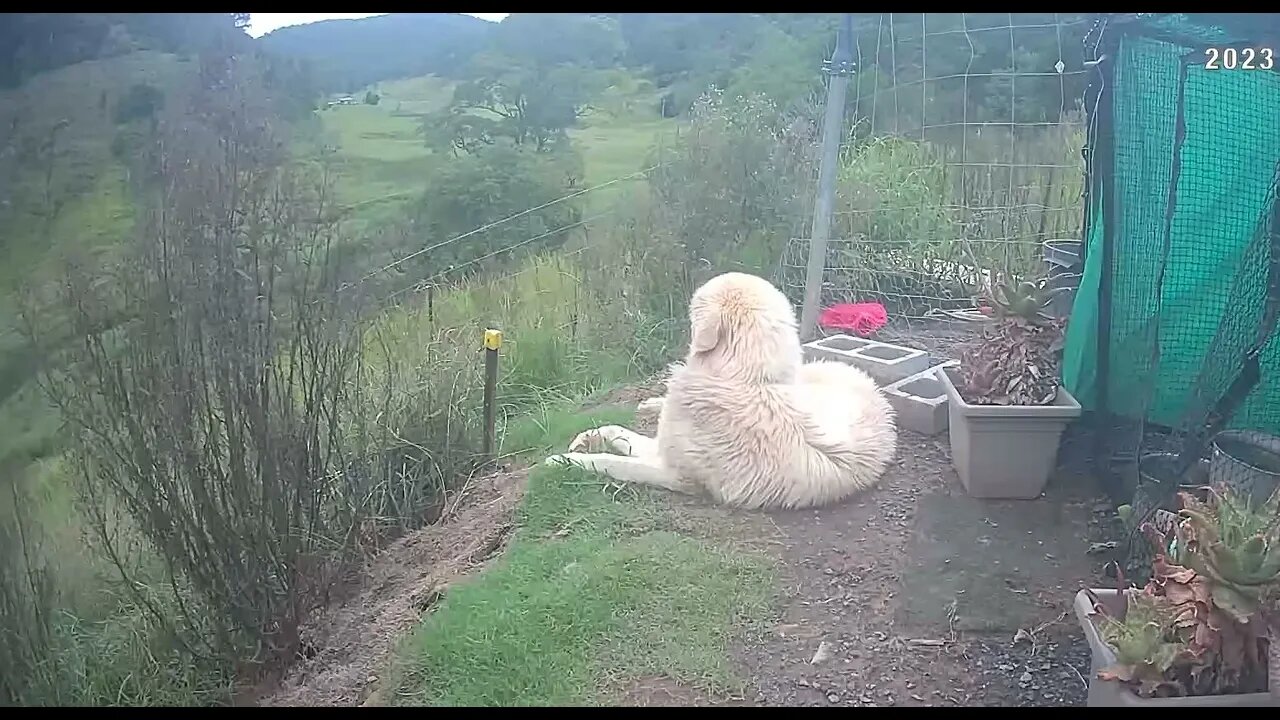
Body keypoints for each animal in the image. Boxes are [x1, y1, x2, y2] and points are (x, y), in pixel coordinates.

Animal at [545, 270, 896, 509]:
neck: (743, 378)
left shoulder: (676, 473)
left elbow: (612, 461)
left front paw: (562, 460)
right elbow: (616, 431)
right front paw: (585, 439)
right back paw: (651, 403)